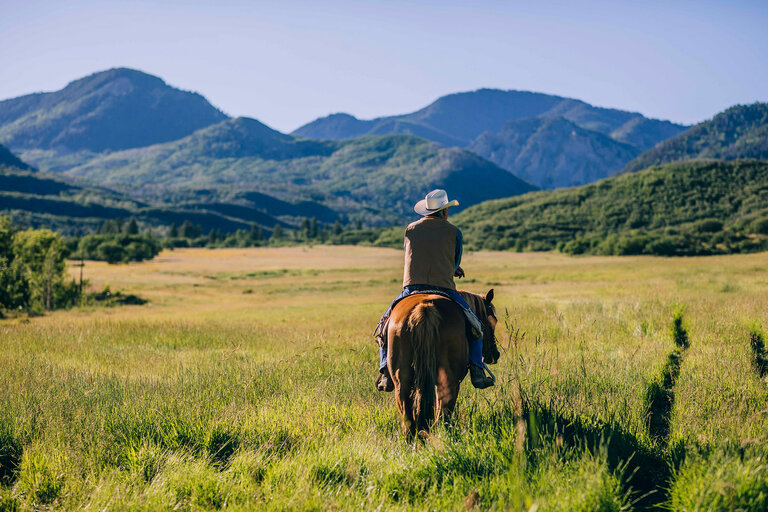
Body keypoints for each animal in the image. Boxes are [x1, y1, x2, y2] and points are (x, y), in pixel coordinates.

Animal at [388, 288, 500, 436]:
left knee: (408, 419)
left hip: (402, 381)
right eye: (493, 322)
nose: (495, 354)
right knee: (443, 414)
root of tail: (425, 308)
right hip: (449, 380)